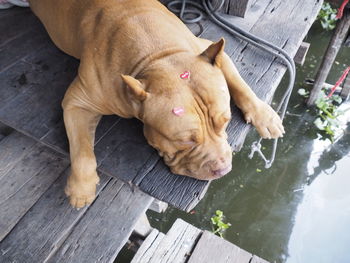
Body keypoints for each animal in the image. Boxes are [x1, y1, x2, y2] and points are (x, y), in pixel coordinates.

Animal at [28, 0, 284, 208]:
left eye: (226, 121)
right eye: (185, 141)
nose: (223, 170)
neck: (157, 56)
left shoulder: (207, 48)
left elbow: (241, 84)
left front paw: (265, 116)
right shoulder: (77, 102)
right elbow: (81, 150)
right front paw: (81, 188)